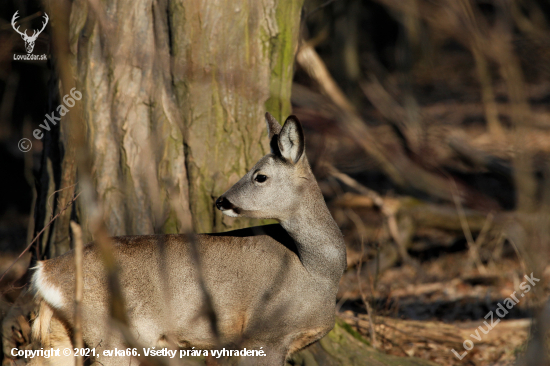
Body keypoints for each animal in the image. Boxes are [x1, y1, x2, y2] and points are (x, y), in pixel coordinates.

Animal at [30, 113, 348, 364]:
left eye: (260, 176)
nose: (221, 200)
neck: (317, 272)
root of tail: (45, 272)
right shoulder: (262, 335)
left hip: (61, 336)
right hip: (111, 335)